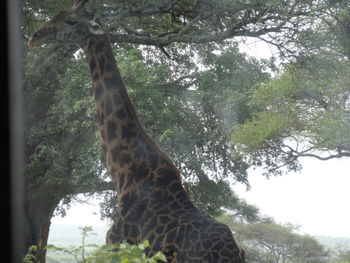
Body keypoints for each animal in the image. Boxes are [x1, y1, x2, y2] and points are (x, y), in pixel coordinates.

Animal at [28, 1, 246, 262]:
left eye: (71, 21)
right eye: (55, 14)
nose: (34, 37)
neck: (123, 172)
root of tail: (235, 251)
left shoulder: (116, 243)